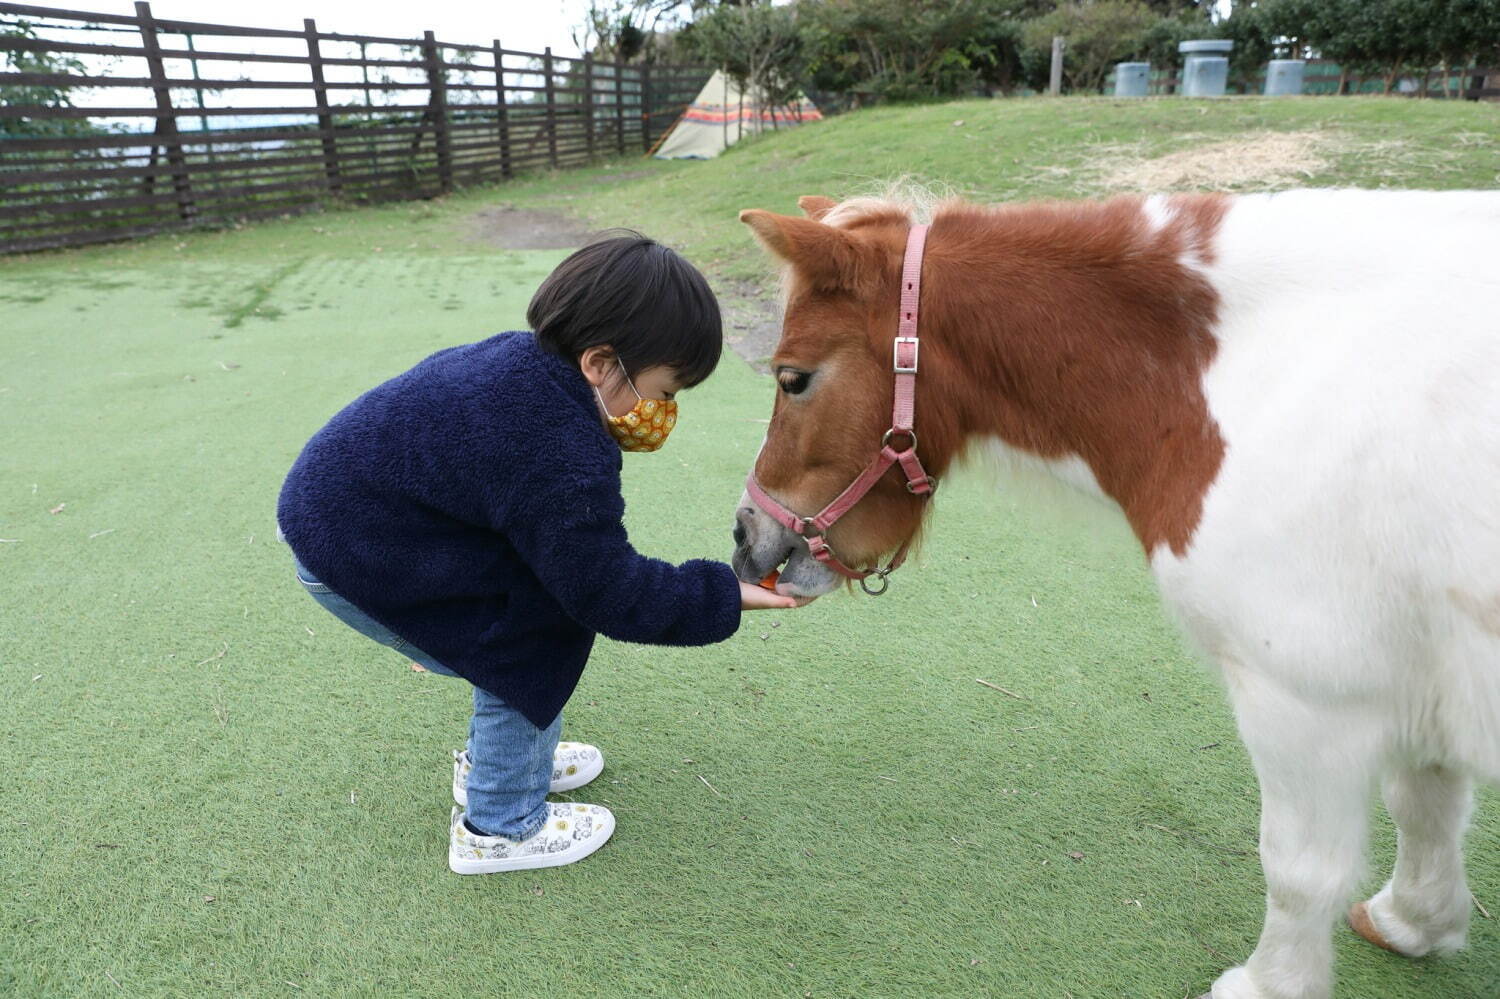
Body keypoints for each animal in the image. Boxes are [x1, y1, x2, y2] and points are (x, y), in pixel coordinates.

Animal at [729, 189, 1500, 996]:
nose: (746, 537)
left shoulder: (1305, 700)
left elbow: (1300, 869)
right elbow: (1425, 805)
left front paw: (1267, 983)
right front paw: (1415, 918)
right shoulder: (1417, 680)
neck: (1261, 383)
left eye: (792, 378)